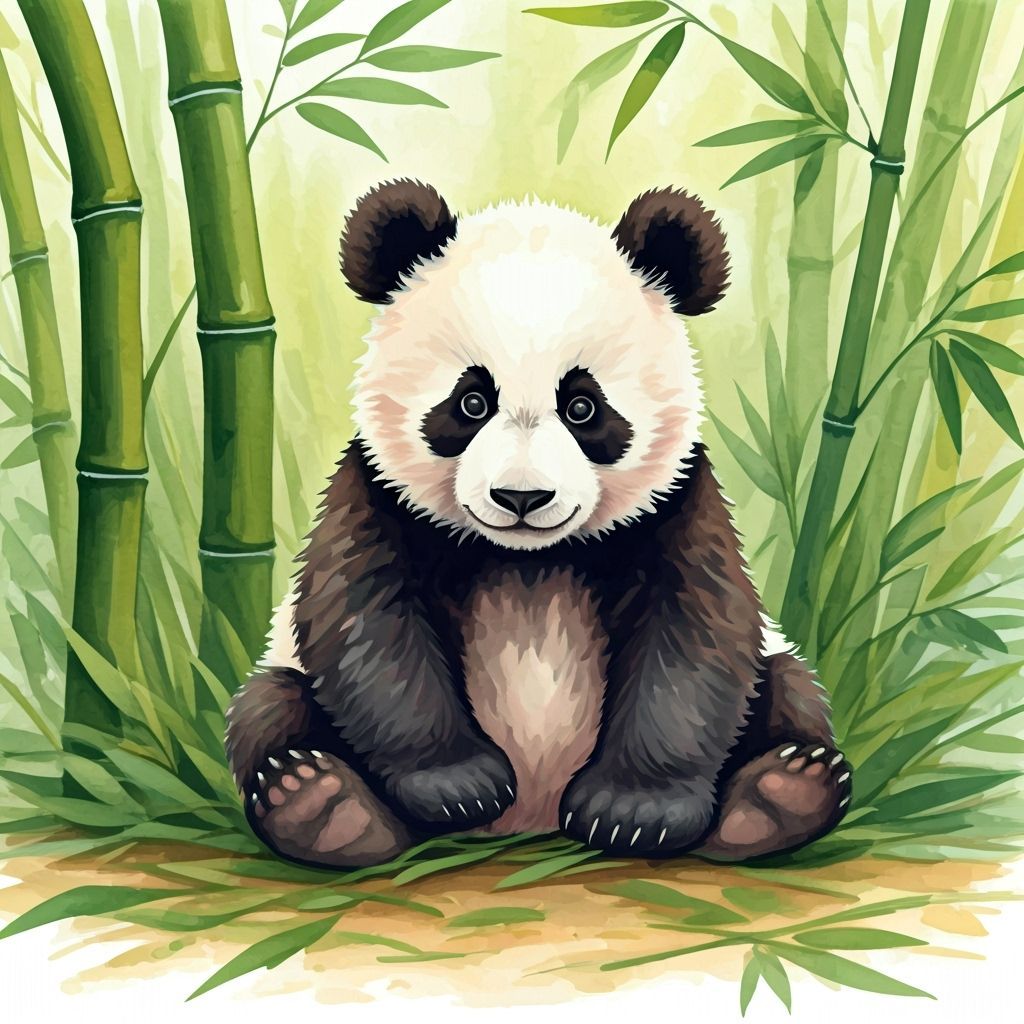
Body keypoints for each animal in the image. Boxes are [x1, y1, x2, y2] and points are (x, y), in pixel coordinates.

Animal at [225, 179, 852, 869]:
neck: (528, 557)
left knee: (790, 691)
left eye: (583, 407)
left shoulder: (677, 500)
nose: (521, 497)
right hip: (284, 676)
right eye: (472, 401)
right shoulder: (378, 493)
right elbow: (370, 624)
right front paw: (456, 784)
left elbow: (693, 634)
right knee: (270, 705)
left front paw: (637, 811)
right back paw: (321, 804)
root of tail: (534, 819)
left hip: (778, 671)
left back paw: (780, 794)